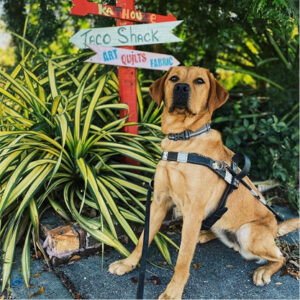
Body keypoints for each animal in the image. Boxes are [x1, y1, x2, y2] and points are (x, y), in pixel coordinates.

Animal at [108, 67, 300, 298]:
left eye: (199, 81)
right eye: (173, 78)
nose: (181, 87)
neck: (183, 140)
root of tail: (273, 230)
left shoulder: (193, 212)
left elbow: (183, 260)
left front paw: (173, 292)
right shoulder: (159, 202)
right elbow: (143, 238)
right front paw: (127, 263)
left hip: (248, 233)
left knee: (280, 256)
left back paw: (264, 271)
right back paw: (206, 234)